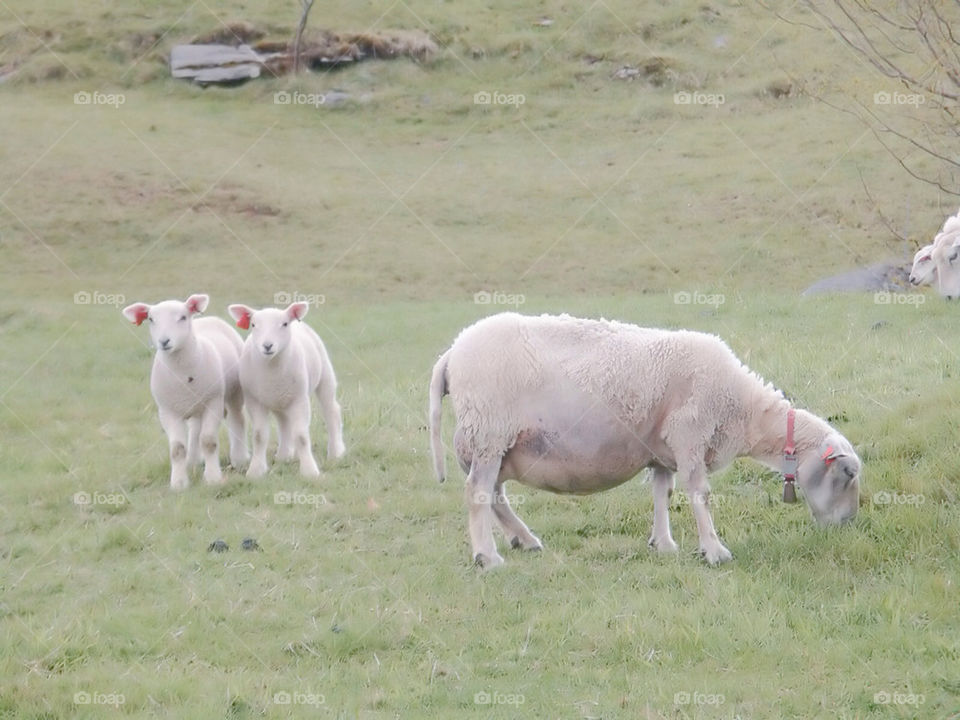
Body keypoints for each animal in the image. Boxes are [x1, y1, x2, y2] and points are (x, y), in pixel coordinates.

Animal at [122, 294, 248, 490]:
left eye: (182, 317)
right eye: (151, 319)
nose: (164, 341)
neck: (182, 373)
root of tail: (209, 318)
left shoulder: (213, 402)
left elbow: (208, 441)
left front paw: (213, 478)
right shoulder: (167, 411)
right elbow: (177, 449)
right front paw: (179, 483)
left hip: (233, 392)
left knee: (237, 419)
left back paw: (240, 459)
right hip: (195, 404)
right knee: (195, 429)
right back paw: (193, 461)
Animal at [227, 301, 346, 478]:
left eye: (284, 324)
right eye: (253, 325)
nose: (267, 345)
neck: (271, 368)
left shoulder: (299, 399)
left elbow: (301, 436)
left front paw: (309, 470)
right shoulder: (254, 401)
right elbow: (259, 436)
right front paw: (256, 470)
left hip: (325, 374)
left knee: (331, 411)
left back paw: (336, 452)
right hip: (280, 399)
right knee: (284, 422)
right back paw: (284, 455)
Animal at [429, 312, 861, 568]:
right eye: (848, 474)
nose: (848, 525)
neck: (742, 409)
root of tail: (450, 353)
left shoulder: (662, 451)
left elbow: (662, 494)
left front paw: (663, 544)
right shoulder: (690, 434)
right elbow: (700, 494)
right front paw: (714, 551)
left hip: (496, 443)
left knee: (495, 494)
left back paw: (524, 539)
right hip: (489, 431)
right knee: (478, 492)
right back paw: (487, 556)